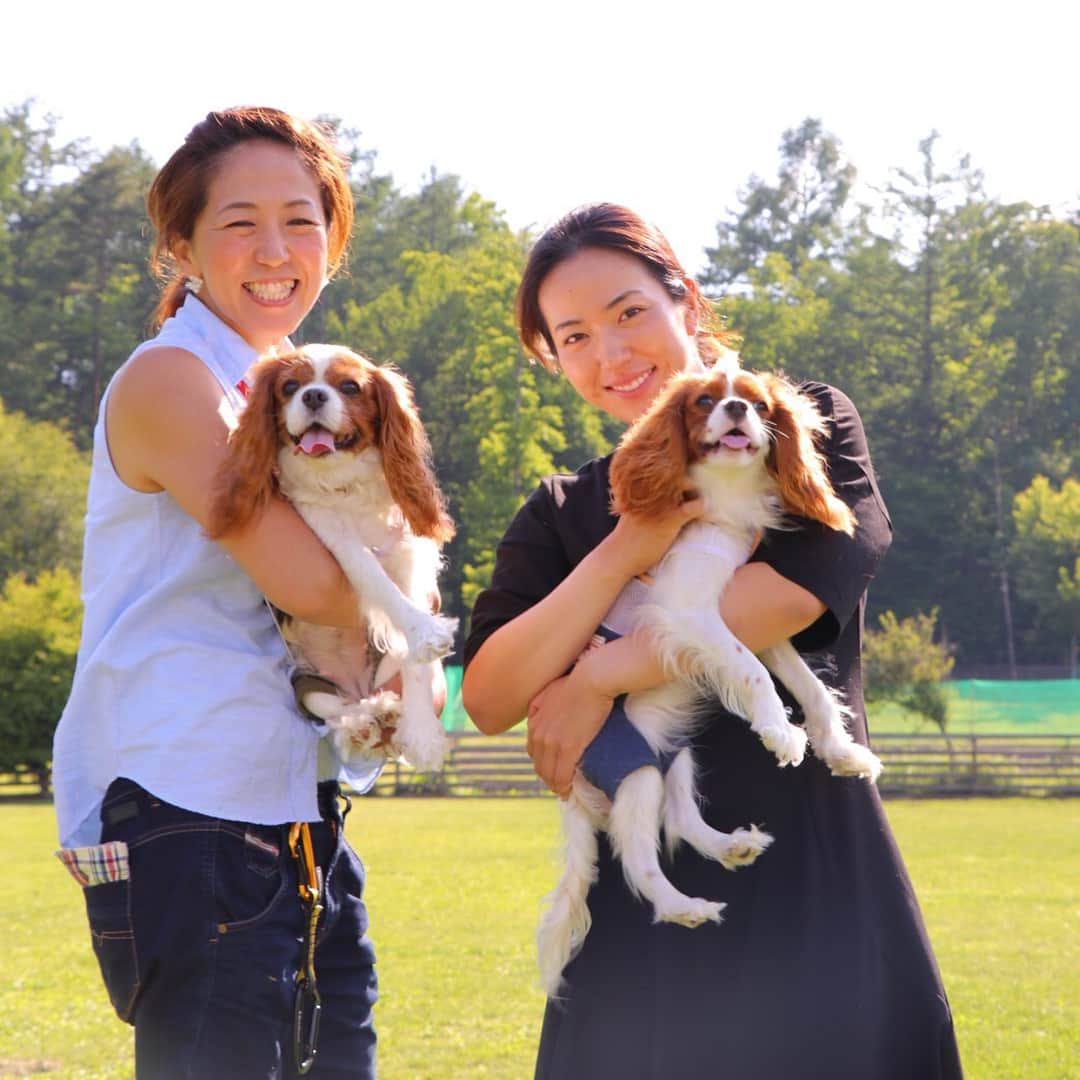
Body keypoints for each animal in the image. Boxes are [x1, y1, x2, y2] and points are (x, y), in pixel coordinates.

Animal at [209, 341, 455, 773]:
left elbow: (415, 652)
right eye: (290, 387)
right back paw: (364, 722)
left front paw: (423, 734)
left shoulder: (408, 552)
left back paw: (384, 712)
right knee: (335, 708)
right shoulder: (329, 531)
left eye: (350, 387)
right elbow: (375, 577)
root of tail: (356, 686)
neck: (343, 480)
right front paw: (426, 631)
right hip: (304, 680)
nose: (313, 396)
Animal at [535, 352, 881, 993]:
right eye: (704, 402)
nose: (739, 409)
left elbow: (809, 686)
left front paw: (841, 751)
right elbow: (755, 674)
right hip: (634, 768)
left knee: (680, 817)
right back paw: (685, 908)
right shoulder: (693, 611)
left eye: (761, 403)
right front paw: (780, 732)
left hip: (676, 754)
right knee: (637, 856)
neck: (726, 496)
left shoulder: (755, 619)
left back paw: (731, 848)